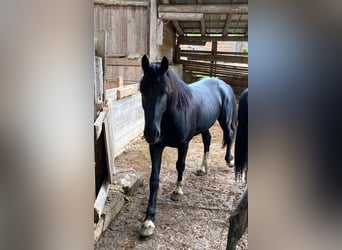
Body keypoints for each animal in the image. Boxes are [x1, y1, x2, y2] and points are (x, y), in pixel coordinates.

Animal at [140, 55, 238, 236]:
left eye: (164, 91)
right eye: (142, 90)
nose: (150, 133)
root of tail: (223, 84)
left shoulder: (184, 144)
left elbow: (180, 165)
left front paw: (177, 191)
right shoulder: (156, 147)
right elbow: (154, 179)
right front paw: (148, 221)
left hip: (225, 119)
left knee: (229, 134)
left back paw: (229, 160)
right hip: (205, 125)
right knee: (207, 140)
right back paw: (203, 168)